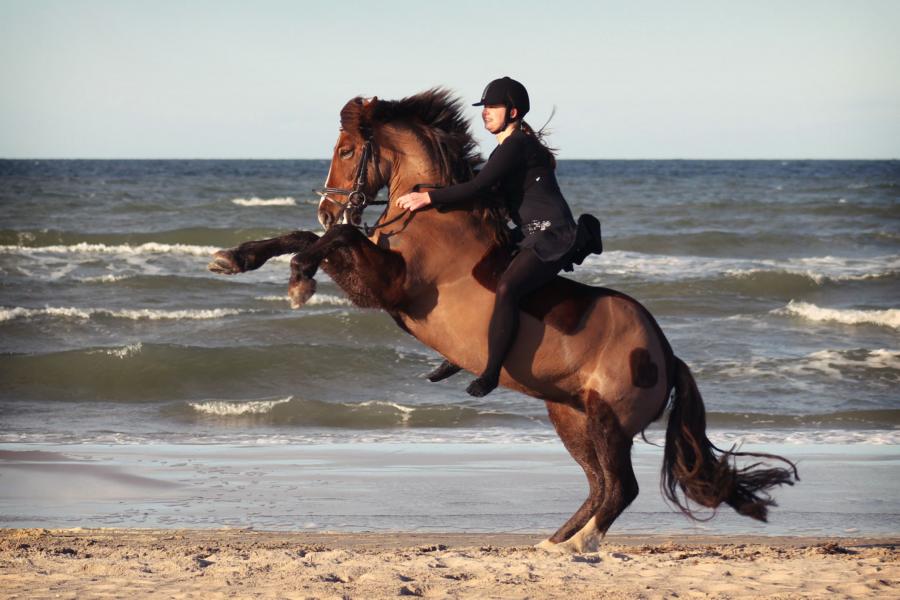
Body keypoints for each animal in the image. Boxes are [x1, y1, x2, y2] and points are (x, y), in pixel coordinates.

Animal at [209, 86, 796, 552]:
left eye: (347, 149)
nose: (328, 207)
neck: (428, 213)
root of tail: (668, 355)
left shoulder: (387, 285)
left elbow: (335, 240)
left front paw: (300, 278)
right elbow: (309, 237)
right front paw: (236, 258)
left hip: (606, 418)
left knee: (620, 488)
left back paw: (577, 547)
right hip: (569, 415)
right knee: (598, 486)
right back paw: (550, 544)